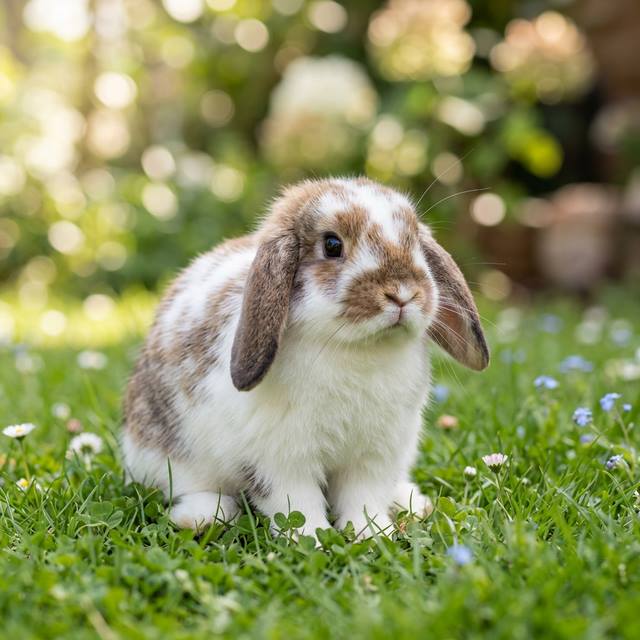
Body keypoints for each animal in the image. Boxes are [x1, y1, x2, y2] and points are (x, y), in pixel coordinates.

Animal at [122, 177, 489, 539]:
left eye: (414, 242)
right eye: (332, 245)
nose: (403, 293)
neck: (356, 348)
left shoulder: (375, 456)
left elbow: (363, 498)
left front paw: (373, 533)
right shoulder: (281, 461)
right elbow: (296, 503)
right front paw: (311, 538)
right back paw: (201, 516)